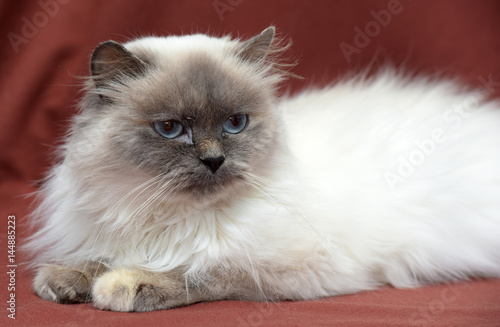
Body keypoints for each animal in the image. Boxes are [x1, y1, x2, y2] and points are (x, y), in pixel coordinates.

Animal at [25, 26, 500, 312]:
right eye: (171, 129)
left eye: (235, 124)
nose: (213, 160)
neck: (174, 216)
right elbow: (94, 258)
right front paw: (63, 281)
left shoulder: (294, 267)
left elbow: (200, 269)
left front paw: (122, 286)